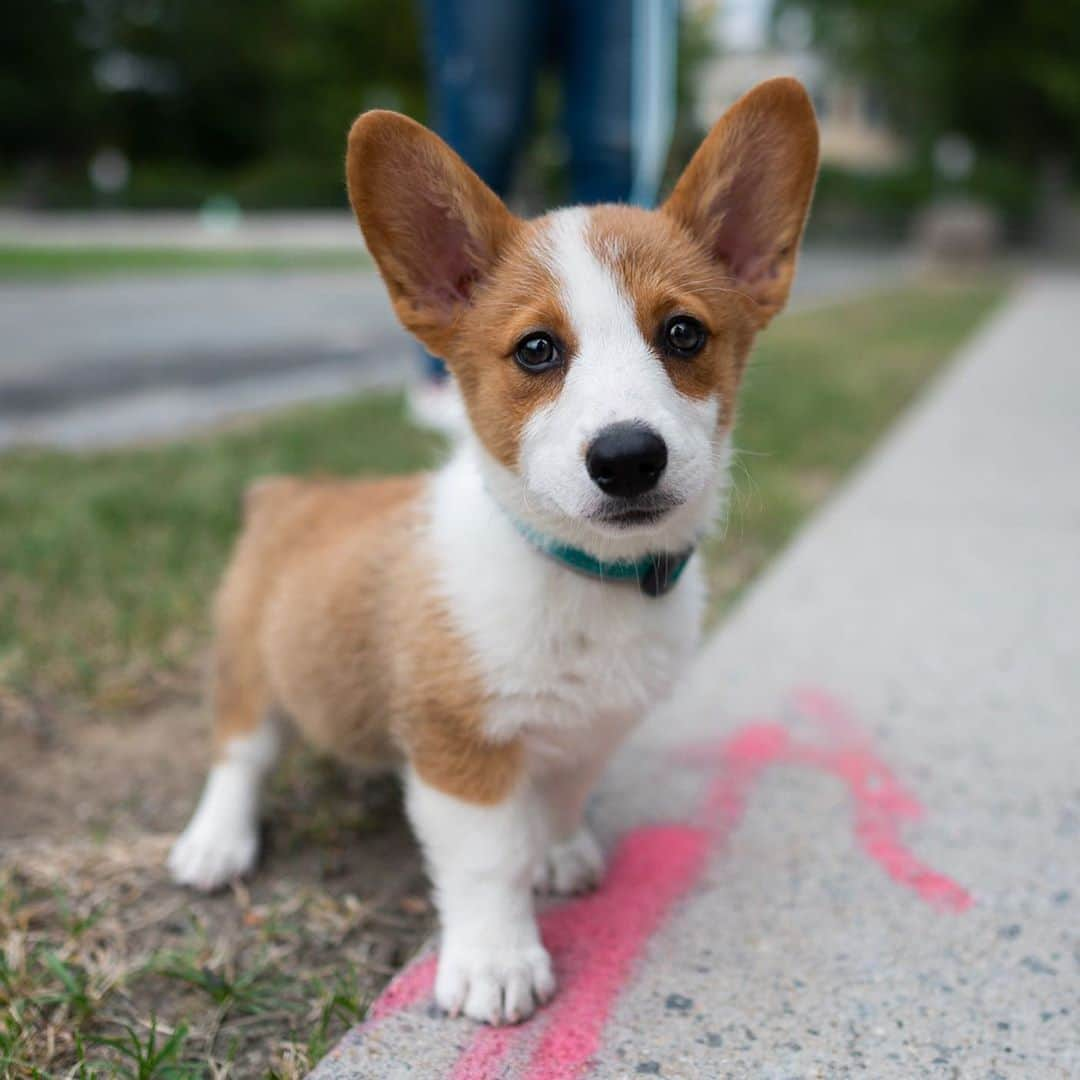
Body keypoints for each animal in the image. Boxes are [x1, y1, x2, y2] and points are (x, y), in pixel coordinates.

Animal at [168, 79, 816, 1023]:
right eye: (537, 350)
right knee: (238, 753)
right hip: (251, 665)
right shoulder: (459, 747)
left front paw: (561, 853)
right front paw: (496, 962)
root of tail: (291, 493)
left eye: (684, 334)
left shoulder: (589, 735)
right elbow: (487, 862)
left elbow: (559, 801)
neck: (582, 574)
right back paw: (215, 843)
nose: (628, 457)